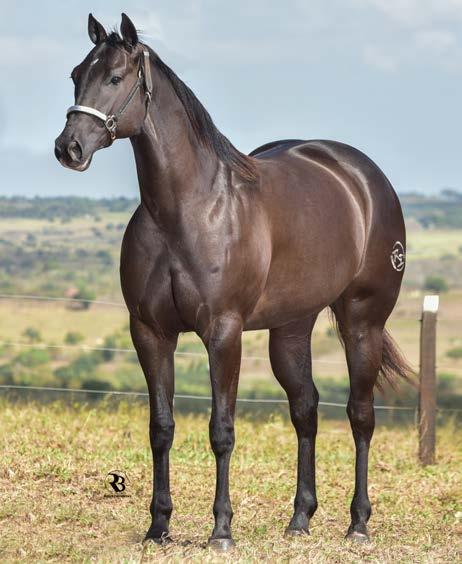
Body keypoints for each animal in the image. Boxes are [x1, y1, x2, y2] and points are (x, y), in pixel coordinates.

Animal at [55, 13, 412, 552]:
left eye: (115, 78)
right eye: (77, 75)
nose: (68, 148)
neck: (187, 209)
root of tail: (365, 179)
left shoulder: (223, 333)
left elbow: (221, 429)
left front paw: (221, 530)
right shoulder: (149, 334)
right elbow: (161, 427)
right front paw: (158, 526)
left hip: (361, 321)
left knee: (360, 415)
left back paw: (358, 524)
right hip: (291, 328)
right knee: (305, 408)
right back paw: (300, 518)